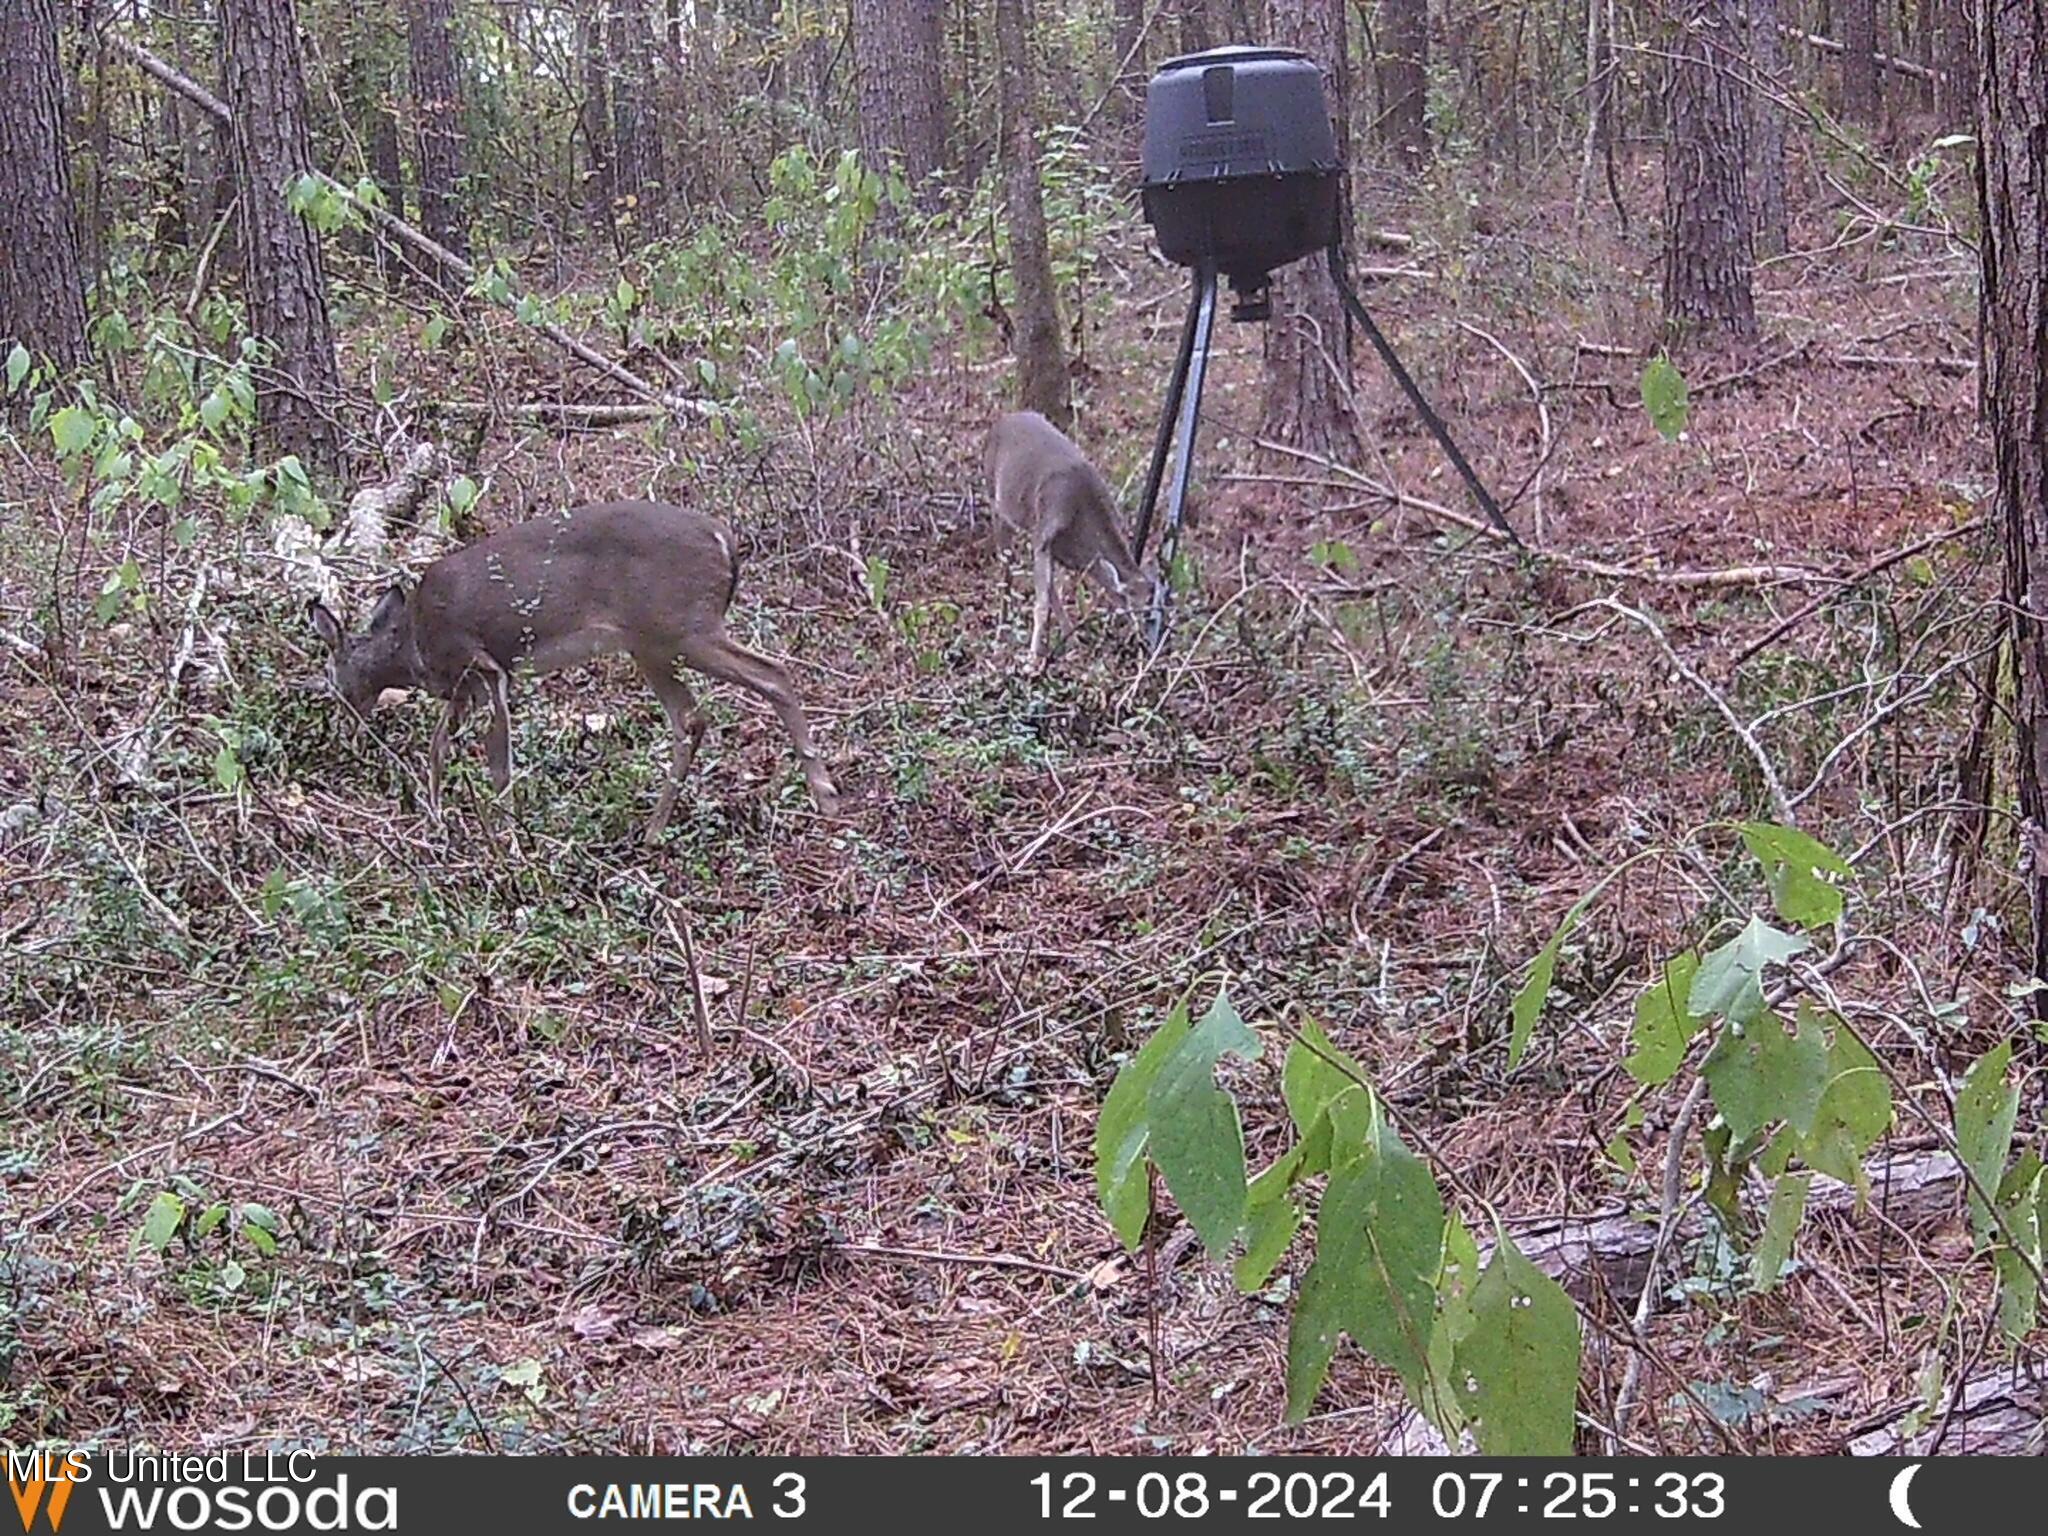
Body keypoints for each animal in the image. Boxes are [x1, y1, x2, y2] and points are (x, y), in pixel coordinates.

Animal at [307, 499, 840, 845]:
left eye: (332, 682)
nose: (344, 734)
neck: (415, 646)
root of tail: (724, 540)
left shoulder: (483, 665)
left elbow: (497, 761)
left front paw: (508, 840)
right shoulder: (464, 689)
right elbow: (439, 748)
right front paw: (434, 819)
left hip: (683, 626)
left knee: (773, 673)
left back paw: (827, 795)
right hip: (649, 644)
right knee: (691, 717)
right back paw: (652, 831)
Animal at [984, 411, 1160, 671]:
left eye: (1151, 606)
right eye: (1134, 603)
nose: (1144, 640)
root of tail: (1002, 420)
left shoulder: (1073, 550)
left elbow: (1061, 589)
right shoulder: (1043, 535)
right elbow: (1042, 602)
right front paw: (1031, 660)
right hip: (997, 505)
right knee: (1006, 569)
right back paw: (1001, 634)